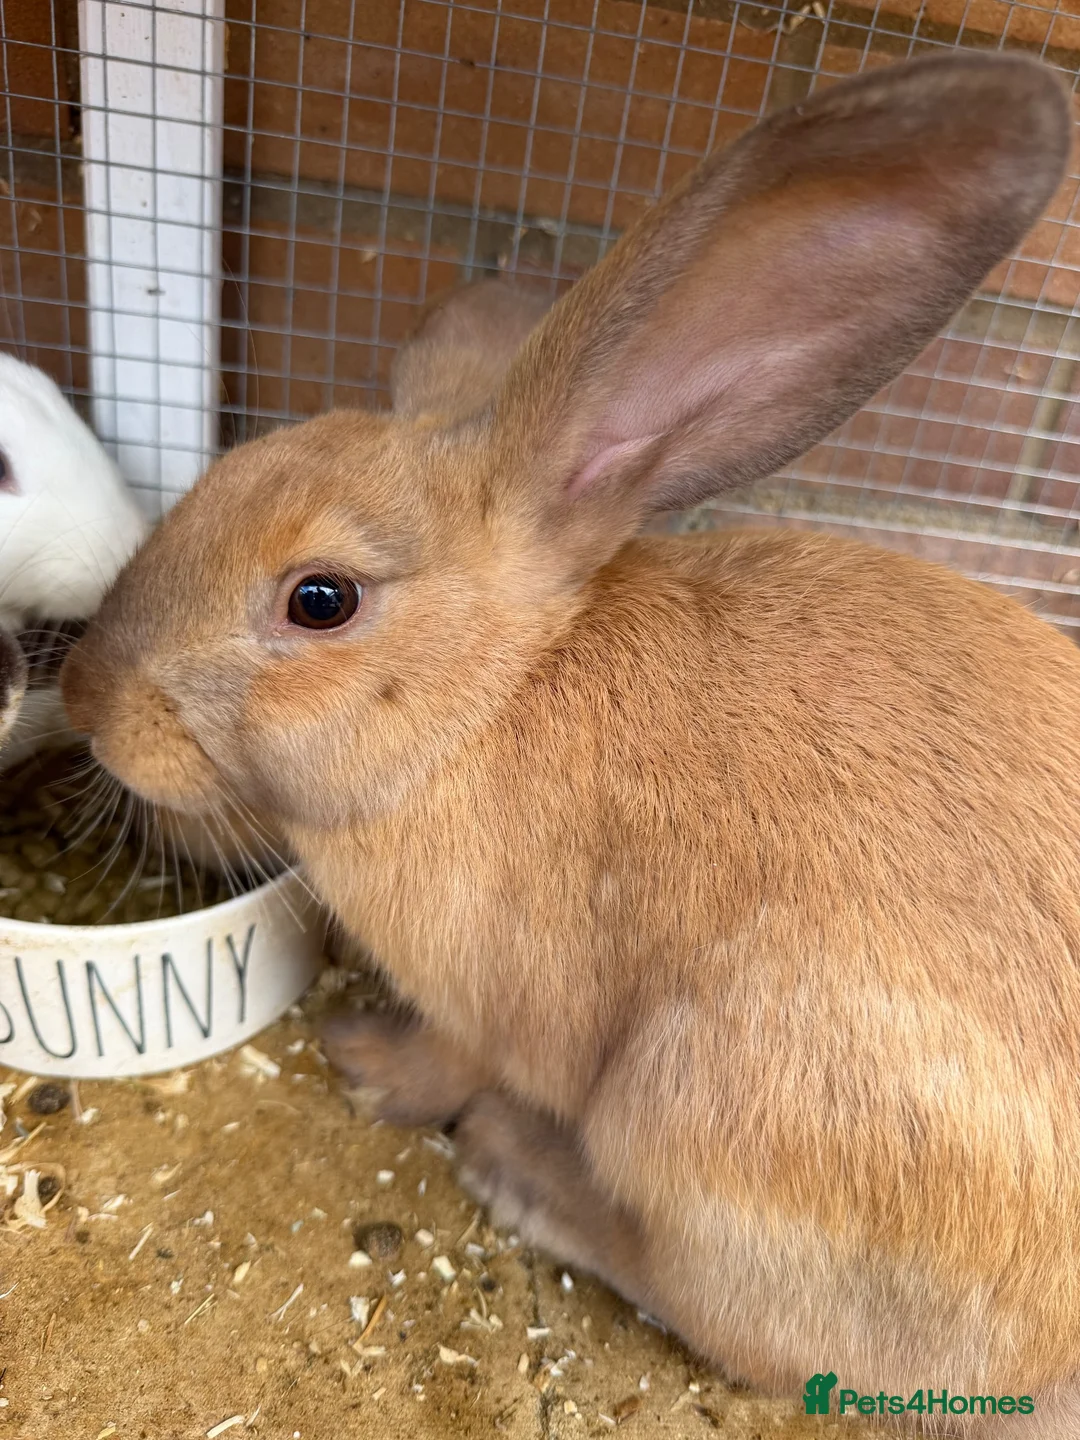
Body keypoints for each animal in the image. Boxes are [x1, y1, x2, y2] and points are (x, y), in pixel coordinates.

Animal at [59, 52, 1080, 1435]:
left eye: (320, 600)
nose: (82, 697)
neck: (489, 704)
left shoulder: (488, 998)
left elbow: (450, 1057)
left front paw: (367, 1067)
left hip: (699, 1111)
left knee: (739, 1328)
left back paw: (520, 1172)